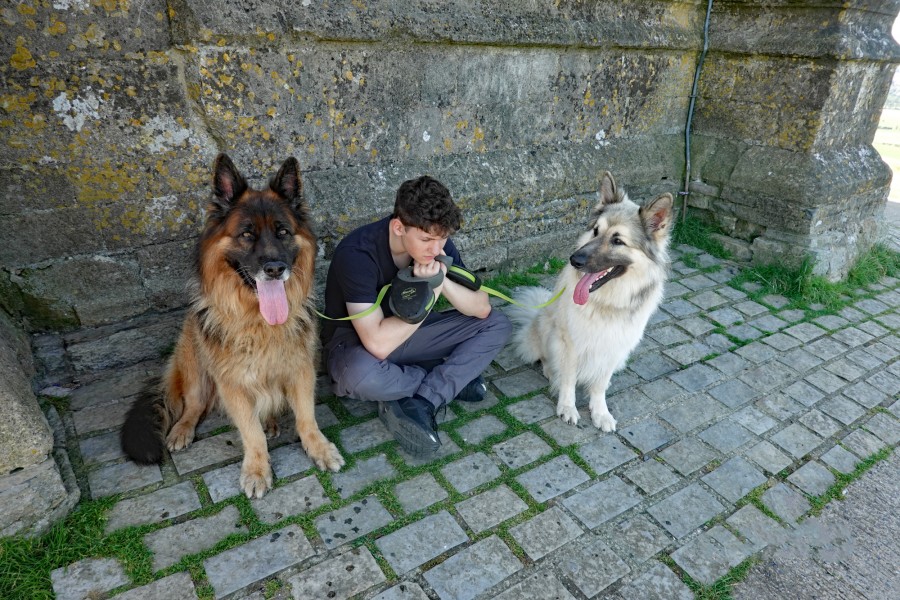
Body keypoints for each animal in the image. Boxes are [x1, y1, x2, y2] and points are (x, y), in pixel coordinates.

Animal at [121, 154, 344, 498]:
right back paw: (182, 430)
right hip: (195, 366)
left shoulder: (301, 370)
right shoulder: (233, 384)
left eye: (282, 232)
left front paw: (318, 448)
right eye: (247, 235)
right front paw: (256, 469)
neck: (260, 322)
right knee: (193, 405)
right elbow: (251, 433)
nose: (275, 269)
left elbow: (306, 418)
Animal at [508, 172, 673, 431]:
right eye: (595, 230)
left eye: (618, 241)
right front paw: (567, 407)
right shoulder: (570, 343)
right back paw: (549, 370)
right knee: (545, 357)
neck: (607, 302)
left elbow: (600, 385)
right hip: (545, 328)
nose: (574, 260)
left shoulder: (614, 347)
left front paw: (600, 412)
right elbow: (568, 379)